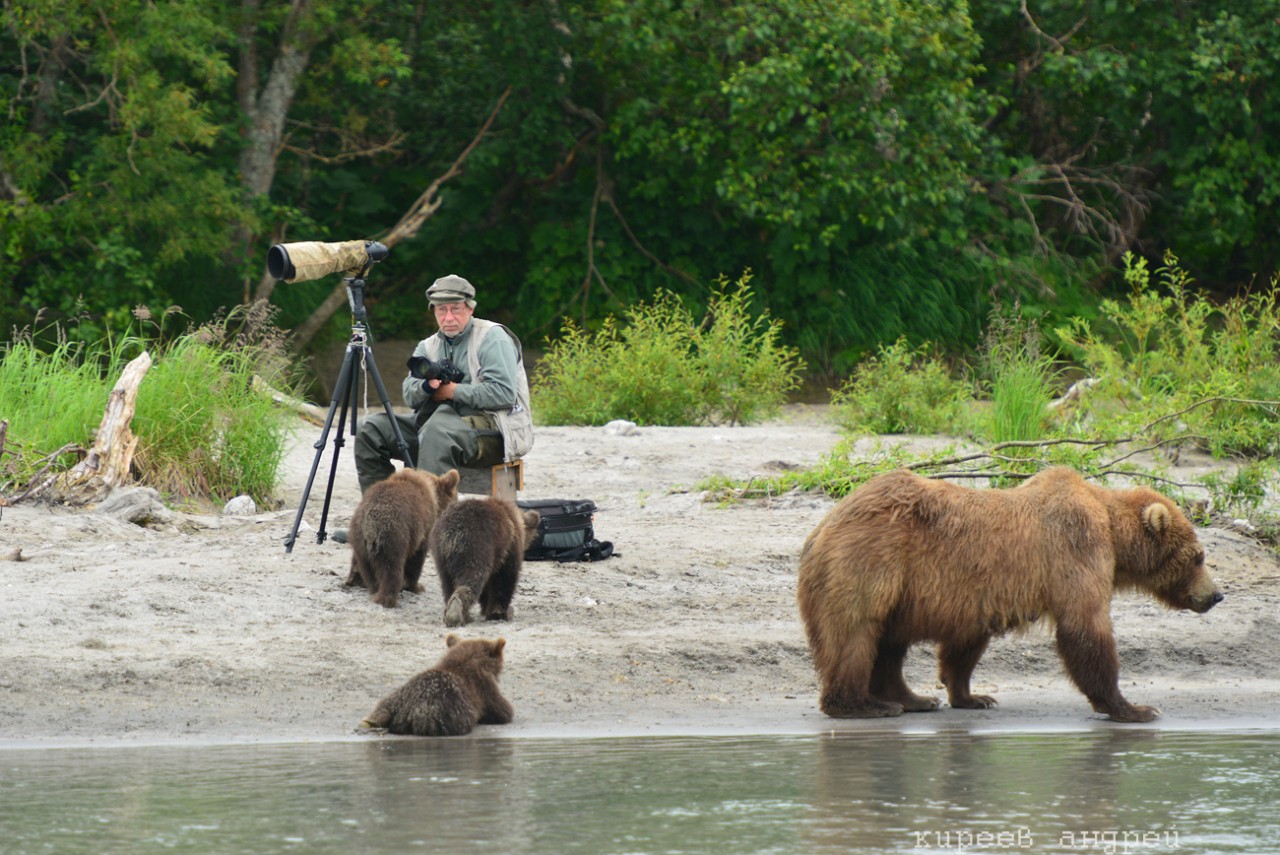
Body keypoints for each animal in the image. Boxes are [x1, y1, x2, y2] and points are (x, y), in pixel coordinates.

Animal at [345, 468, 460, 606]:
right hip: (393, 536)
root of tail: (370, 524)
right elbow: (416, 560)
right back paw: (387, 598)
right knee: (391, 569)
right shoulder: (420, 529)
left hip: (359, 538)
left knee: (368, 569)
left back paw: (372, 589)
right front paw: (416, 587)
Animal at [430, 494, 540, 627]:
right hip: (476, 546)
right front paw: (499, 613)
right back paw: (457, 613)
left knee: (448, 585)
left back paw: (457, 614)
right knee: (472, 579)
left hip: (442, 557)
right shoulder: (508, 548)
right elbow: (504, 580)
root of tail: (451, 534)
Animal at [793, 468, 1223, 721]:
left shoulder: (977, 594)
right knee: (855, 635)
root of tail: (821, 528)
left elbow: (965, 645)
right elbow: (1085, 627)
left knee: (888, 643)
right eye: (1199, 556)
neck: (1113, 532)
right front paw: (1134, 707)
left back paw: (914, 698)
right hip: (869, 563)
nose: (1217, 595)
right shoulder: (1075, 547)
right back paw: (864, 705)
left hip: (896, 587)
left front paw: (972, 696)